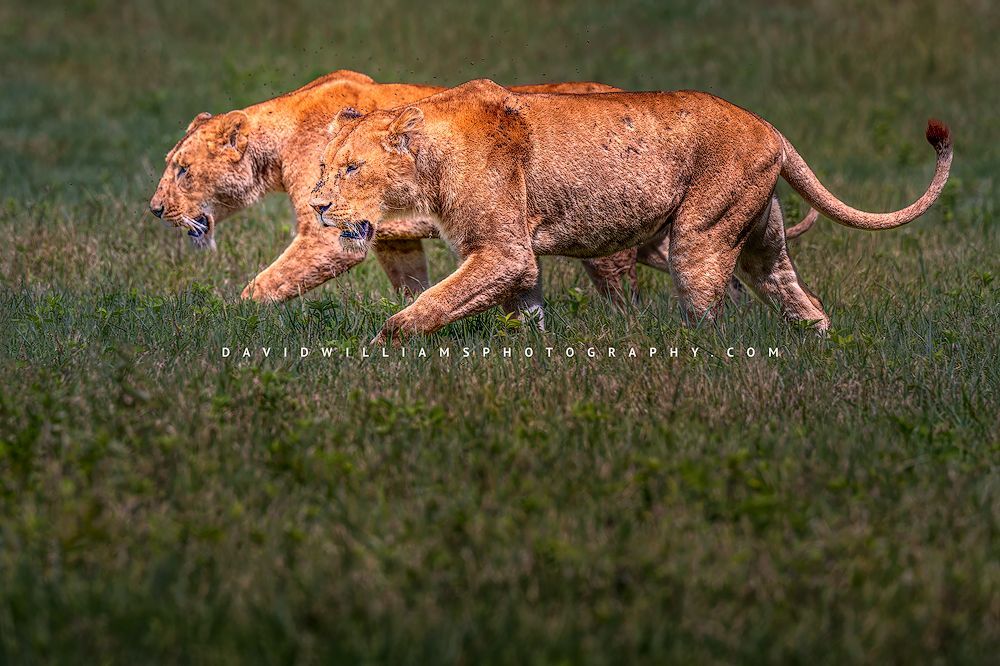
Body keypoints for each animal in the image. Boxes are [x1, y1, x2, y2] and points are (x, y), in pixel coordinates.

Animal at [148, 70, 816, 310]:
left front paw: (230, 319)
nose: (155, 209)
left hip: (621, 240)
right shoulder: (391, 239)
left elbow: (265, 284)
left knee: (638, 292)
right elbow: (412, 286)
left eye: (180, 169)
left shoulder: (334, 234)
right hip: (662, 235)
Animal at [308, 79, 951, 342]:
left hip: (699, 236)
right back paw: (823, 348)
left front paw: (380, 346)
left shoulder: (503, 251)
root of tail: (770, 127)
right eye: (324, 166)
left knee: (711, 315)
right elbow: (528, 314)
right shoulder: (515, 260)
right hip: (761, 240)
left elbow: (430, 303)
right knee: (797, 297)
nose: (318, 207)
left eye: (351, 169)